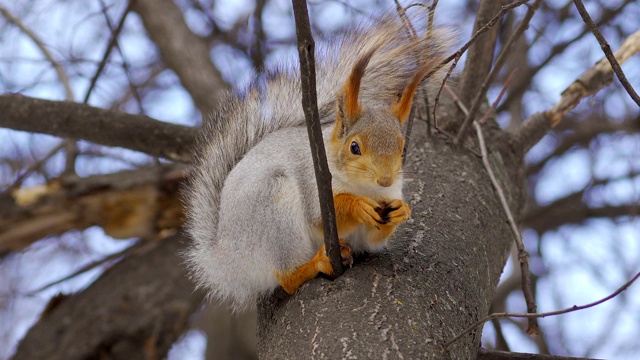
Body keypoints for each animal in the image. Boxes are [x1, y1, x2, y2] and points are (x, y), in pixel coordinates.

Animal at [182, 12, 448, 310]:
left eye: (402, 149)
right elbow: (321, 216)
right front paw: (356, 205)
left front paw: (401, 211)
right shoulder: (314, 180)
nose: (385, 180)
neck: (363, 186)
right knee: (287, 278)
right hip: (272, 209)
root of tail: (224, 261)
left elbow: (371, 240)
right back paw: (316, 264)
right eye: (354, 147)